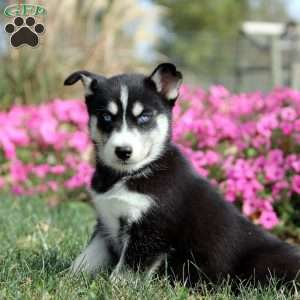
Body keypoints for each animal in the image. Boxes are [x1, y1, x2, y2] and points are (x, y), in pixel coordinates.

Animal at [63, 63, 300, 286]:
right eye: (105, 116)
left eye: (144, 117)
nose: (123, 151)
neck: (128, 175)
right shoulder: (105, 224)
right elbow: (85, 259)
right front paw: (68, 279)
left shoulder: (151, 231)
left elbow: (125, 271)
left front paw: (116, 288)